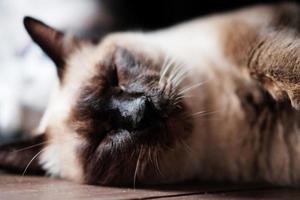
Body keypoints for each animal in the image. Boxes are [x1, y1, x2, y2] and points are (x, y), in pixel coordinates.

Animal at [0, 2, 300, 186]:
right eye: (102, 136)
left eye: (115, 76)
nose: (140, 111)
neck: (220, 114)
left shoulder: (248, 30)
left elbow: (264, 58)